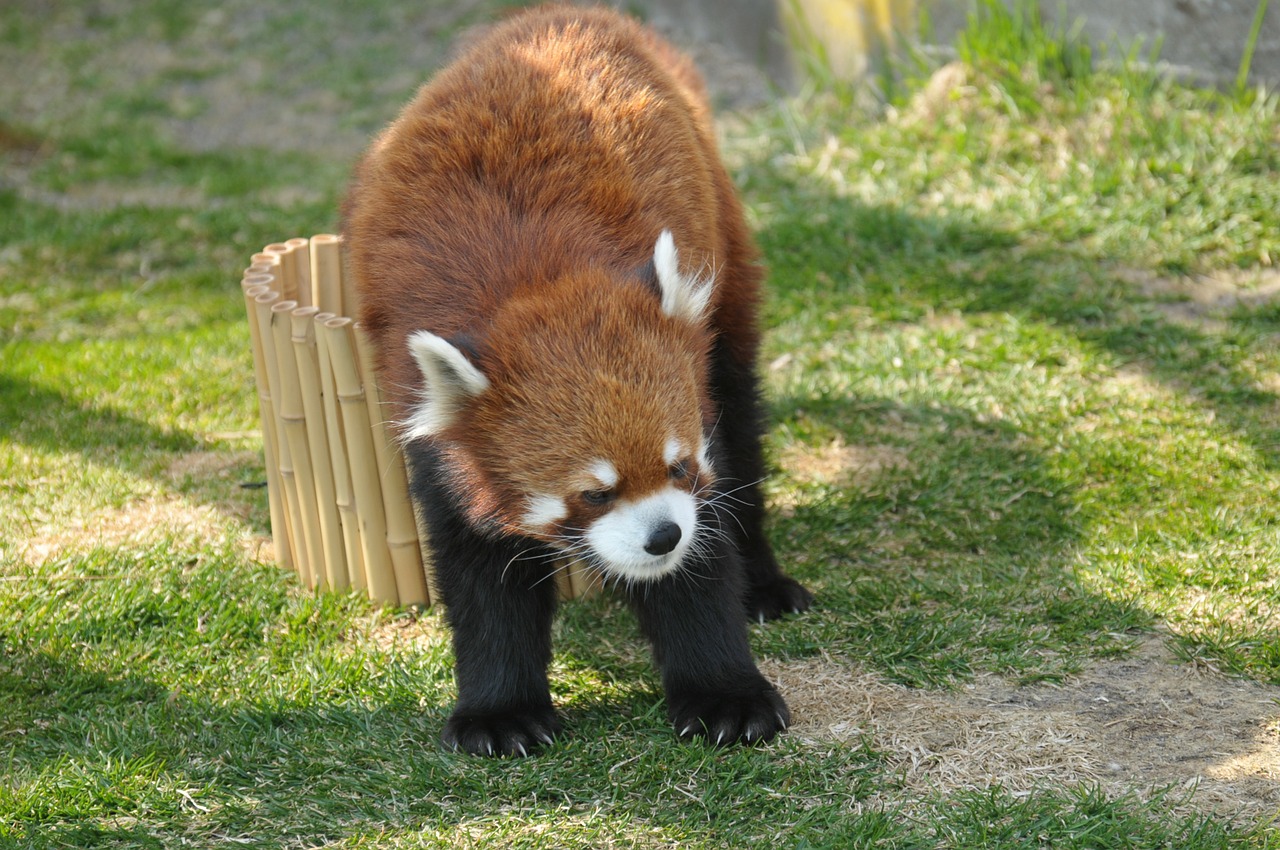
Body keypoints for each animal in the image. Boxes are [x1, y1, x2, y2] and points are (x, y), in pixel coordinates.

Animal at [348, 3, 808, 752]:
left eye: (679, 467)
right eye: (594, 494)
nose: (662, 536)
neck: (536, 281)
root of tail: (565, 13)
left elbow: (701, 559)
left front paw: (725, 695)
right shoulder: (432, 425)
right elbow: (480, 573)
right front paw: (500, 712)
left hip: (723, 265)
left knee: (743, 419)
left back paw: (763, 583)